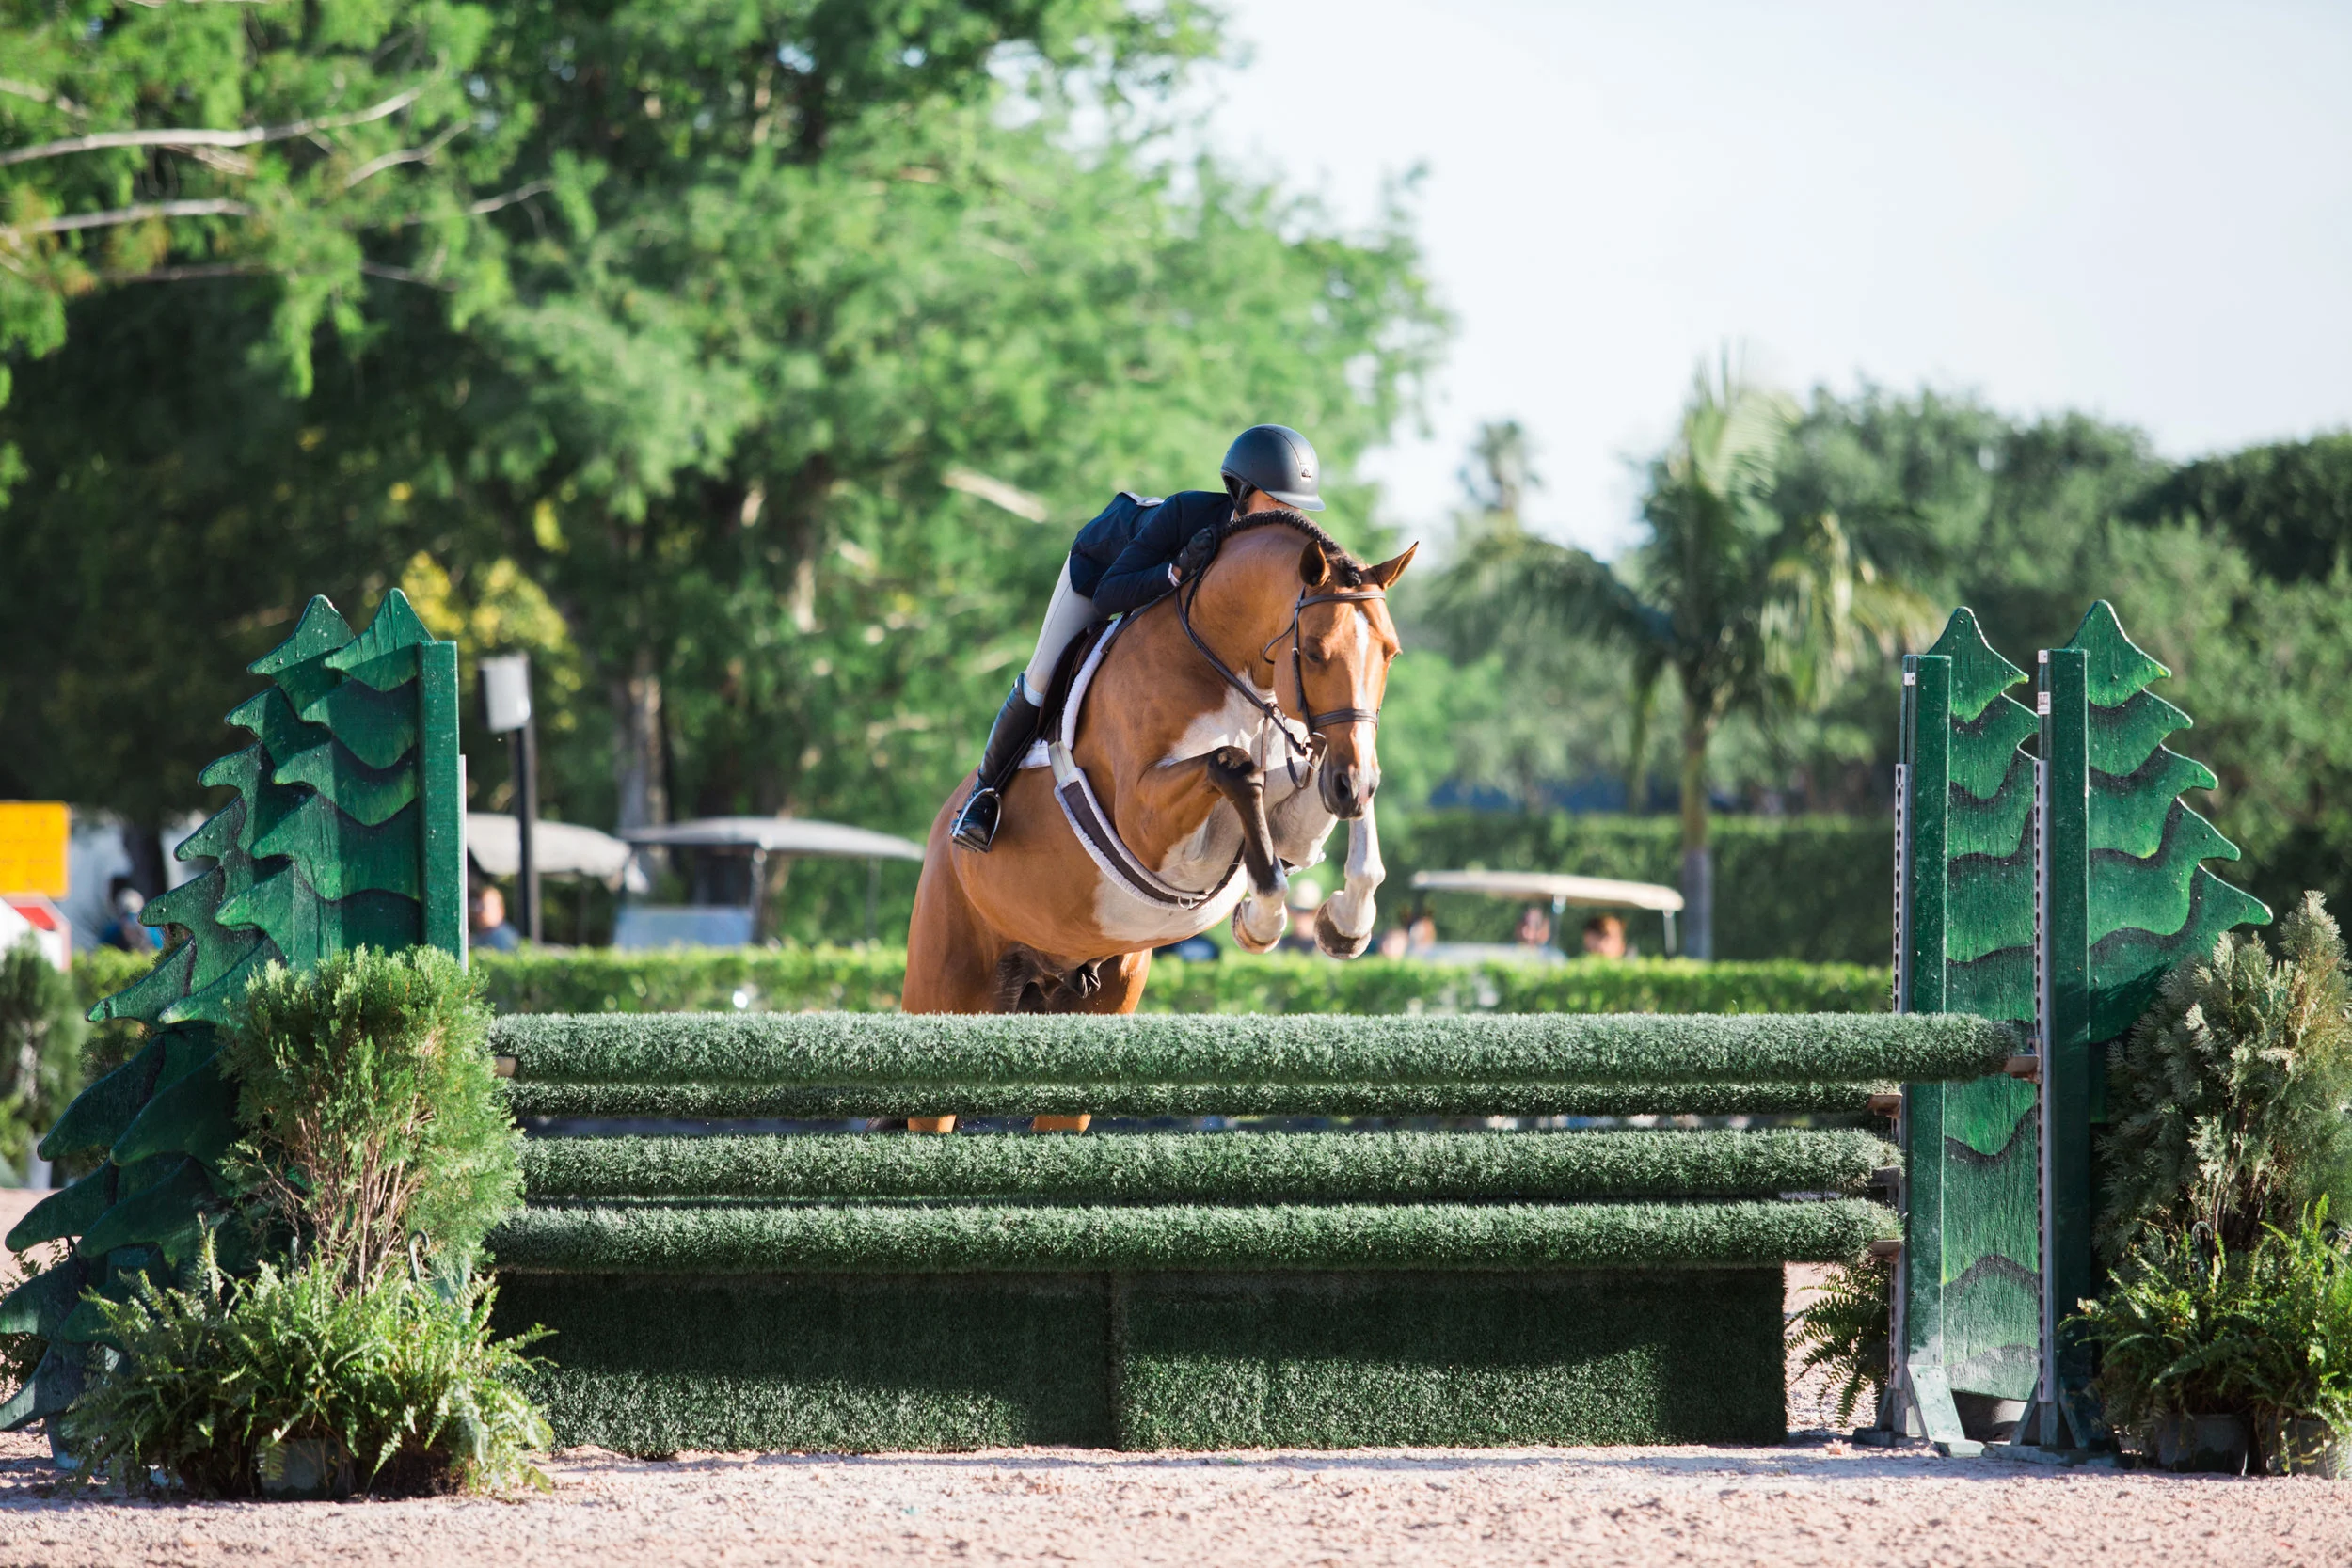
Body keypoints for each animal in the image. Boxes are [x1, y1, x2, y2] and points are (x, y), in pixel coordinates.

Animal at [904, 515, 1415, 1021]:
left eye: (1391, 653)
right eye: (1312, 651)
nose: (1353, 786)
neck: (1229, 663)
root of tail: (941, 831)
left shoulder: (1311, 783)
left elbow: (1325, 829)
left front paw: (1345, 924)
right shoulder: (1149, 825)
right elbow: (1234, 768)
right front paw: (1262, 920)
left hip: (1102, 988)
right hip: (946, 981)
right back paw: (976, 818)